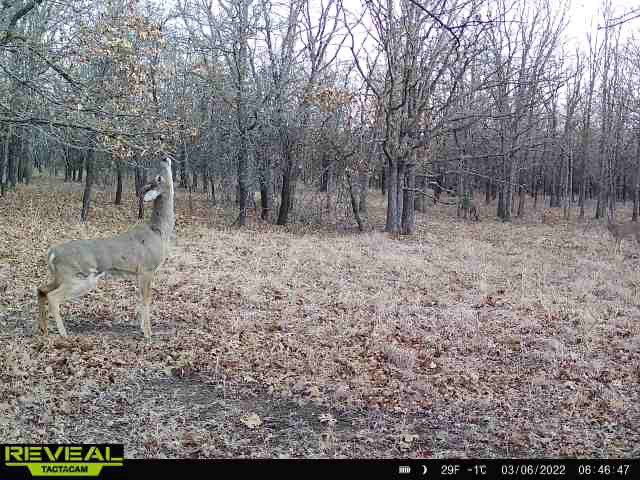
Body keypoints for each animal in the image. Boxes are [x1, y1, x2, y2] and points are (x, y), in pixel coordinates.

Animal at [37, 156, 175, 339]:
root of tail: (51, 253)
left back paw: (44, 329)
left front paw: (141, 327)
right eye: (159, 177)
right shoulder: (147, 268)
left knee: (41, 290)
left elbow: (140, 298)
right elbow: (146, 299)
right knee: (53, 297)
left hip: (60, 276)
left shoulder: (138, 273)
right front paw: (148, 333)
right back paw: (63, 333)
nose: (164, 158)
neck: (159, 232)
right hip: (79, 277)